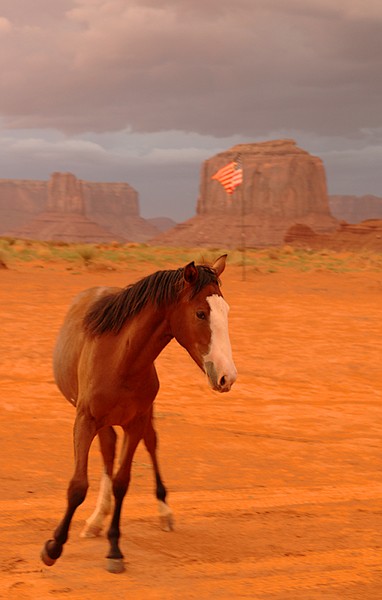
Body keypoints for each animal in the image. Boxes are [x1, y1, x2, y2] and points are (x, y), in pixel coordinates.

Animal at [41, 253, 236, 572]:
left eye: (226, 311)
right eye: (200, 314)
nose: (227, 377)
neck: (120, 359)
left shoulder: (135, 422)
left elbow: (122, 482)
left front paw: (115, 550)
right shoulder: (84, 421)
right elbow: (78, 485)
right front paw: (53, 547)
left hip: (143, 418)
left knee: (150, 443)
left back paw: (162, 512)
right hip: (102, 422)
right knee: (108, 450)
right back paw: (96, 519)